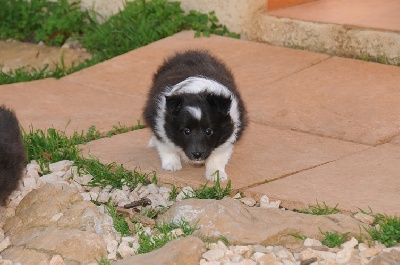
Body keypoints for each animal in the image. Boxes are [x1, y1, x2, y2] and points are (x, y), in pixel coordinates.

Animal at [141, 49, 247, 182]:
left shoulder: (228, 134)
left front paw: (216, 174)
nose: (197, 155)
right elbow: (166, 145)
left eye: (209, 131)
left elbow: (218, 156)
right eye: (186, 131)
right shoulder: (159, 121)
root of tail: (189, 52)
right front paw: (172, 165)